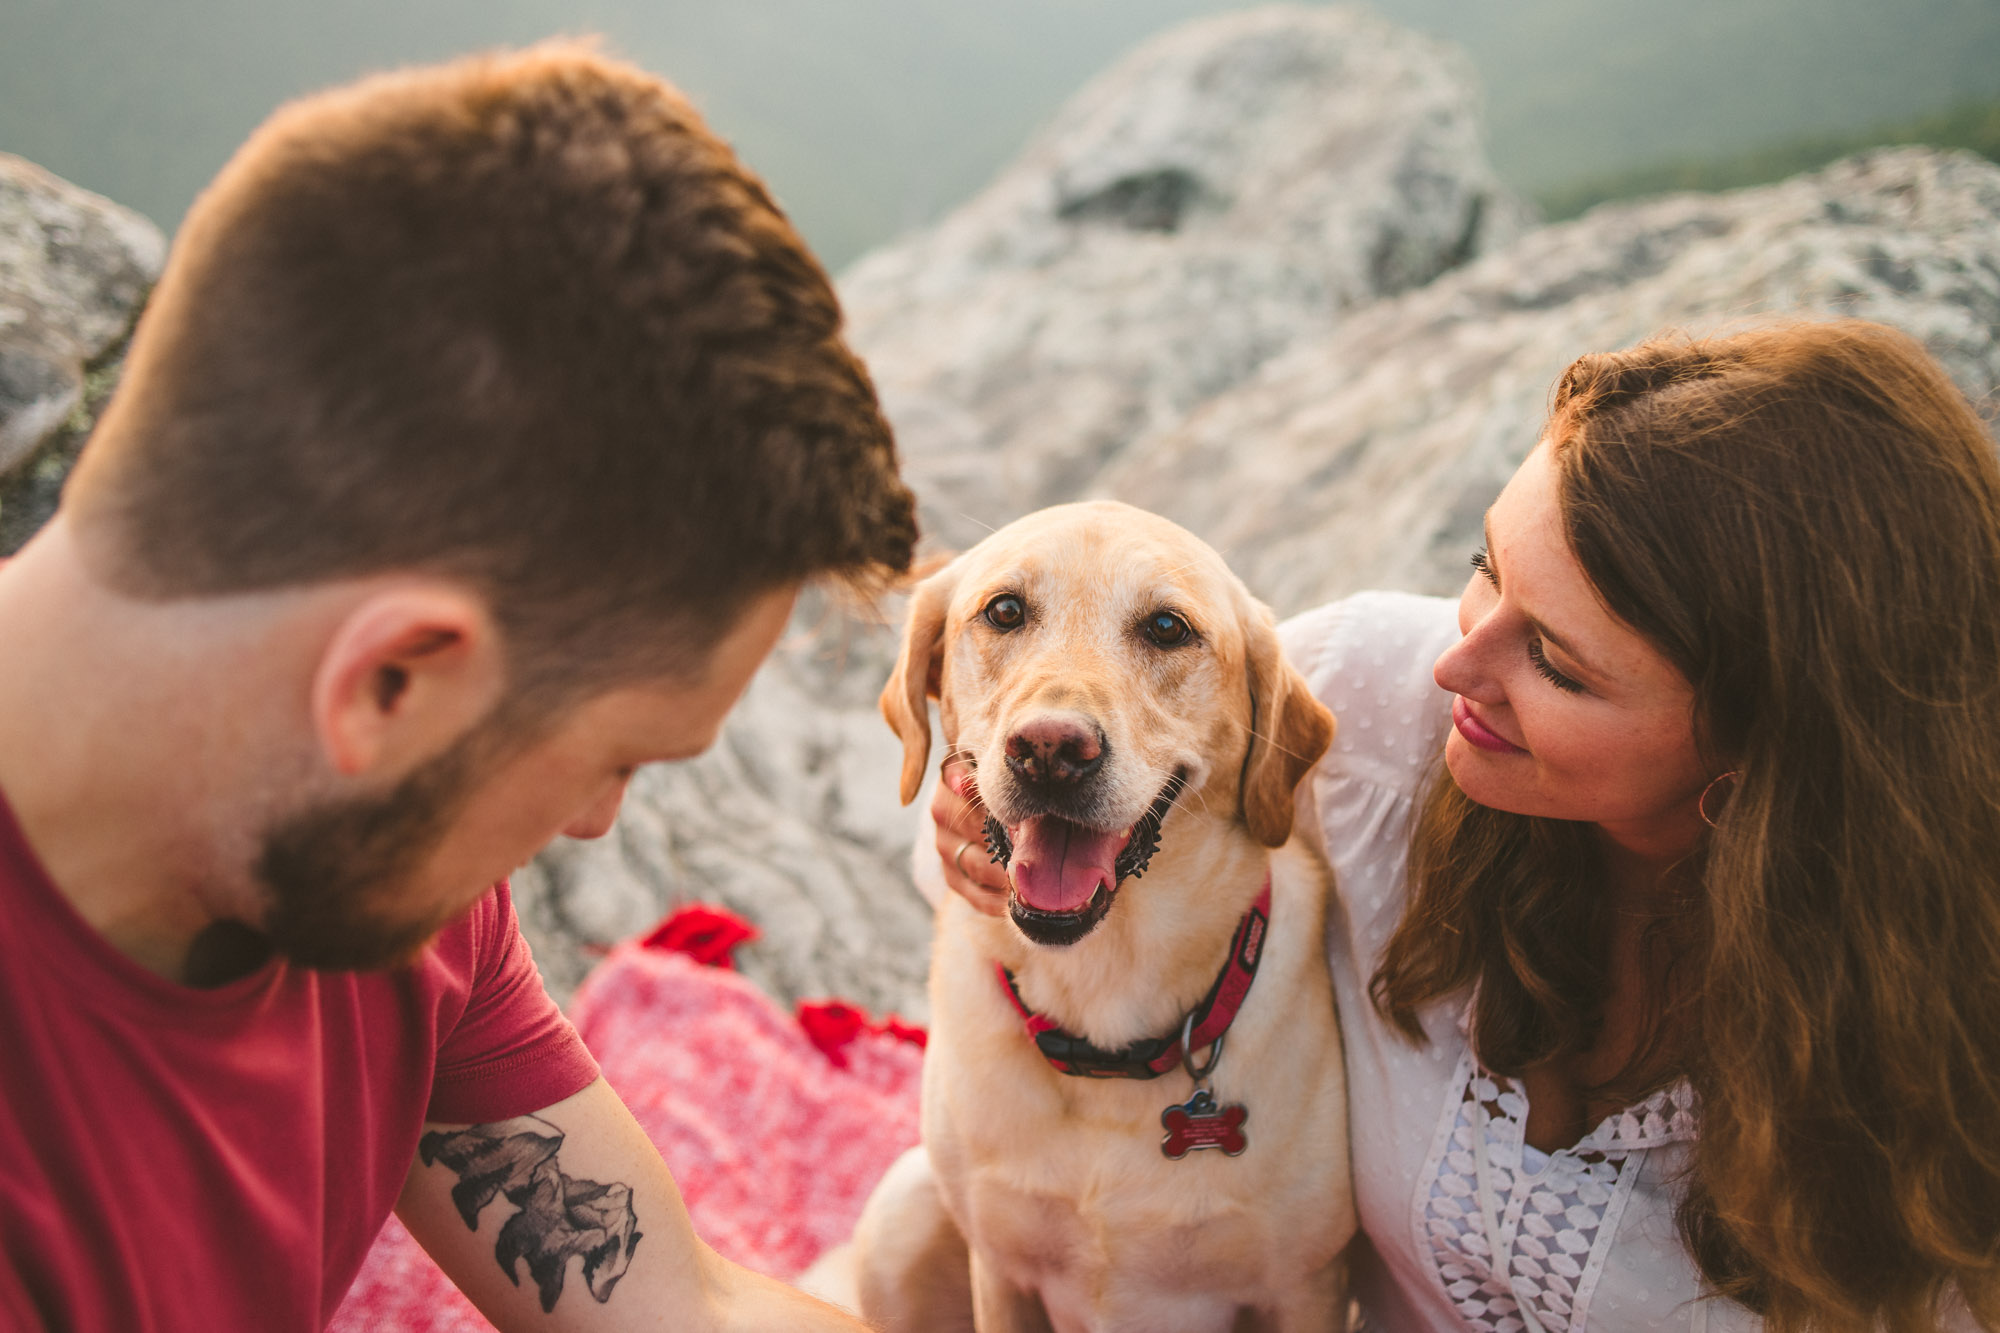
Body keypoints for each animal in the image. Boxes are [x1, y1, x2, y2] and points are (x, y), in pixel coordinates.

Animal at [852, 500, 1352, 1328]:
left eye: (1168, 628)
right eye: (1005, 611)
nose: (1050, 749)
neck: (1103, 1001)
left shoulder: (1303, 1289)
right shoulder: (1000, 1270)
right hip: (900, 1211)